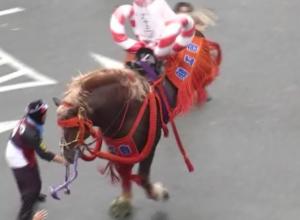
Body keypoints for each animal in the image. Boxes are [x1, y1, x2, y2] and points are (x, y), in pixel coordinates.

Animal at [51, 37, 221, 217]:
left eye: (75, 127)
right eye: (62, 127)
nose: (67, 156)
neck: (125, 105)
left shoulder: (149, 145)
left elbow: (143, 176)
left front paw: (158, 193)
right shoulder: (120, 149)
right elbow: (125, 175)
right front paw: (124, 202)